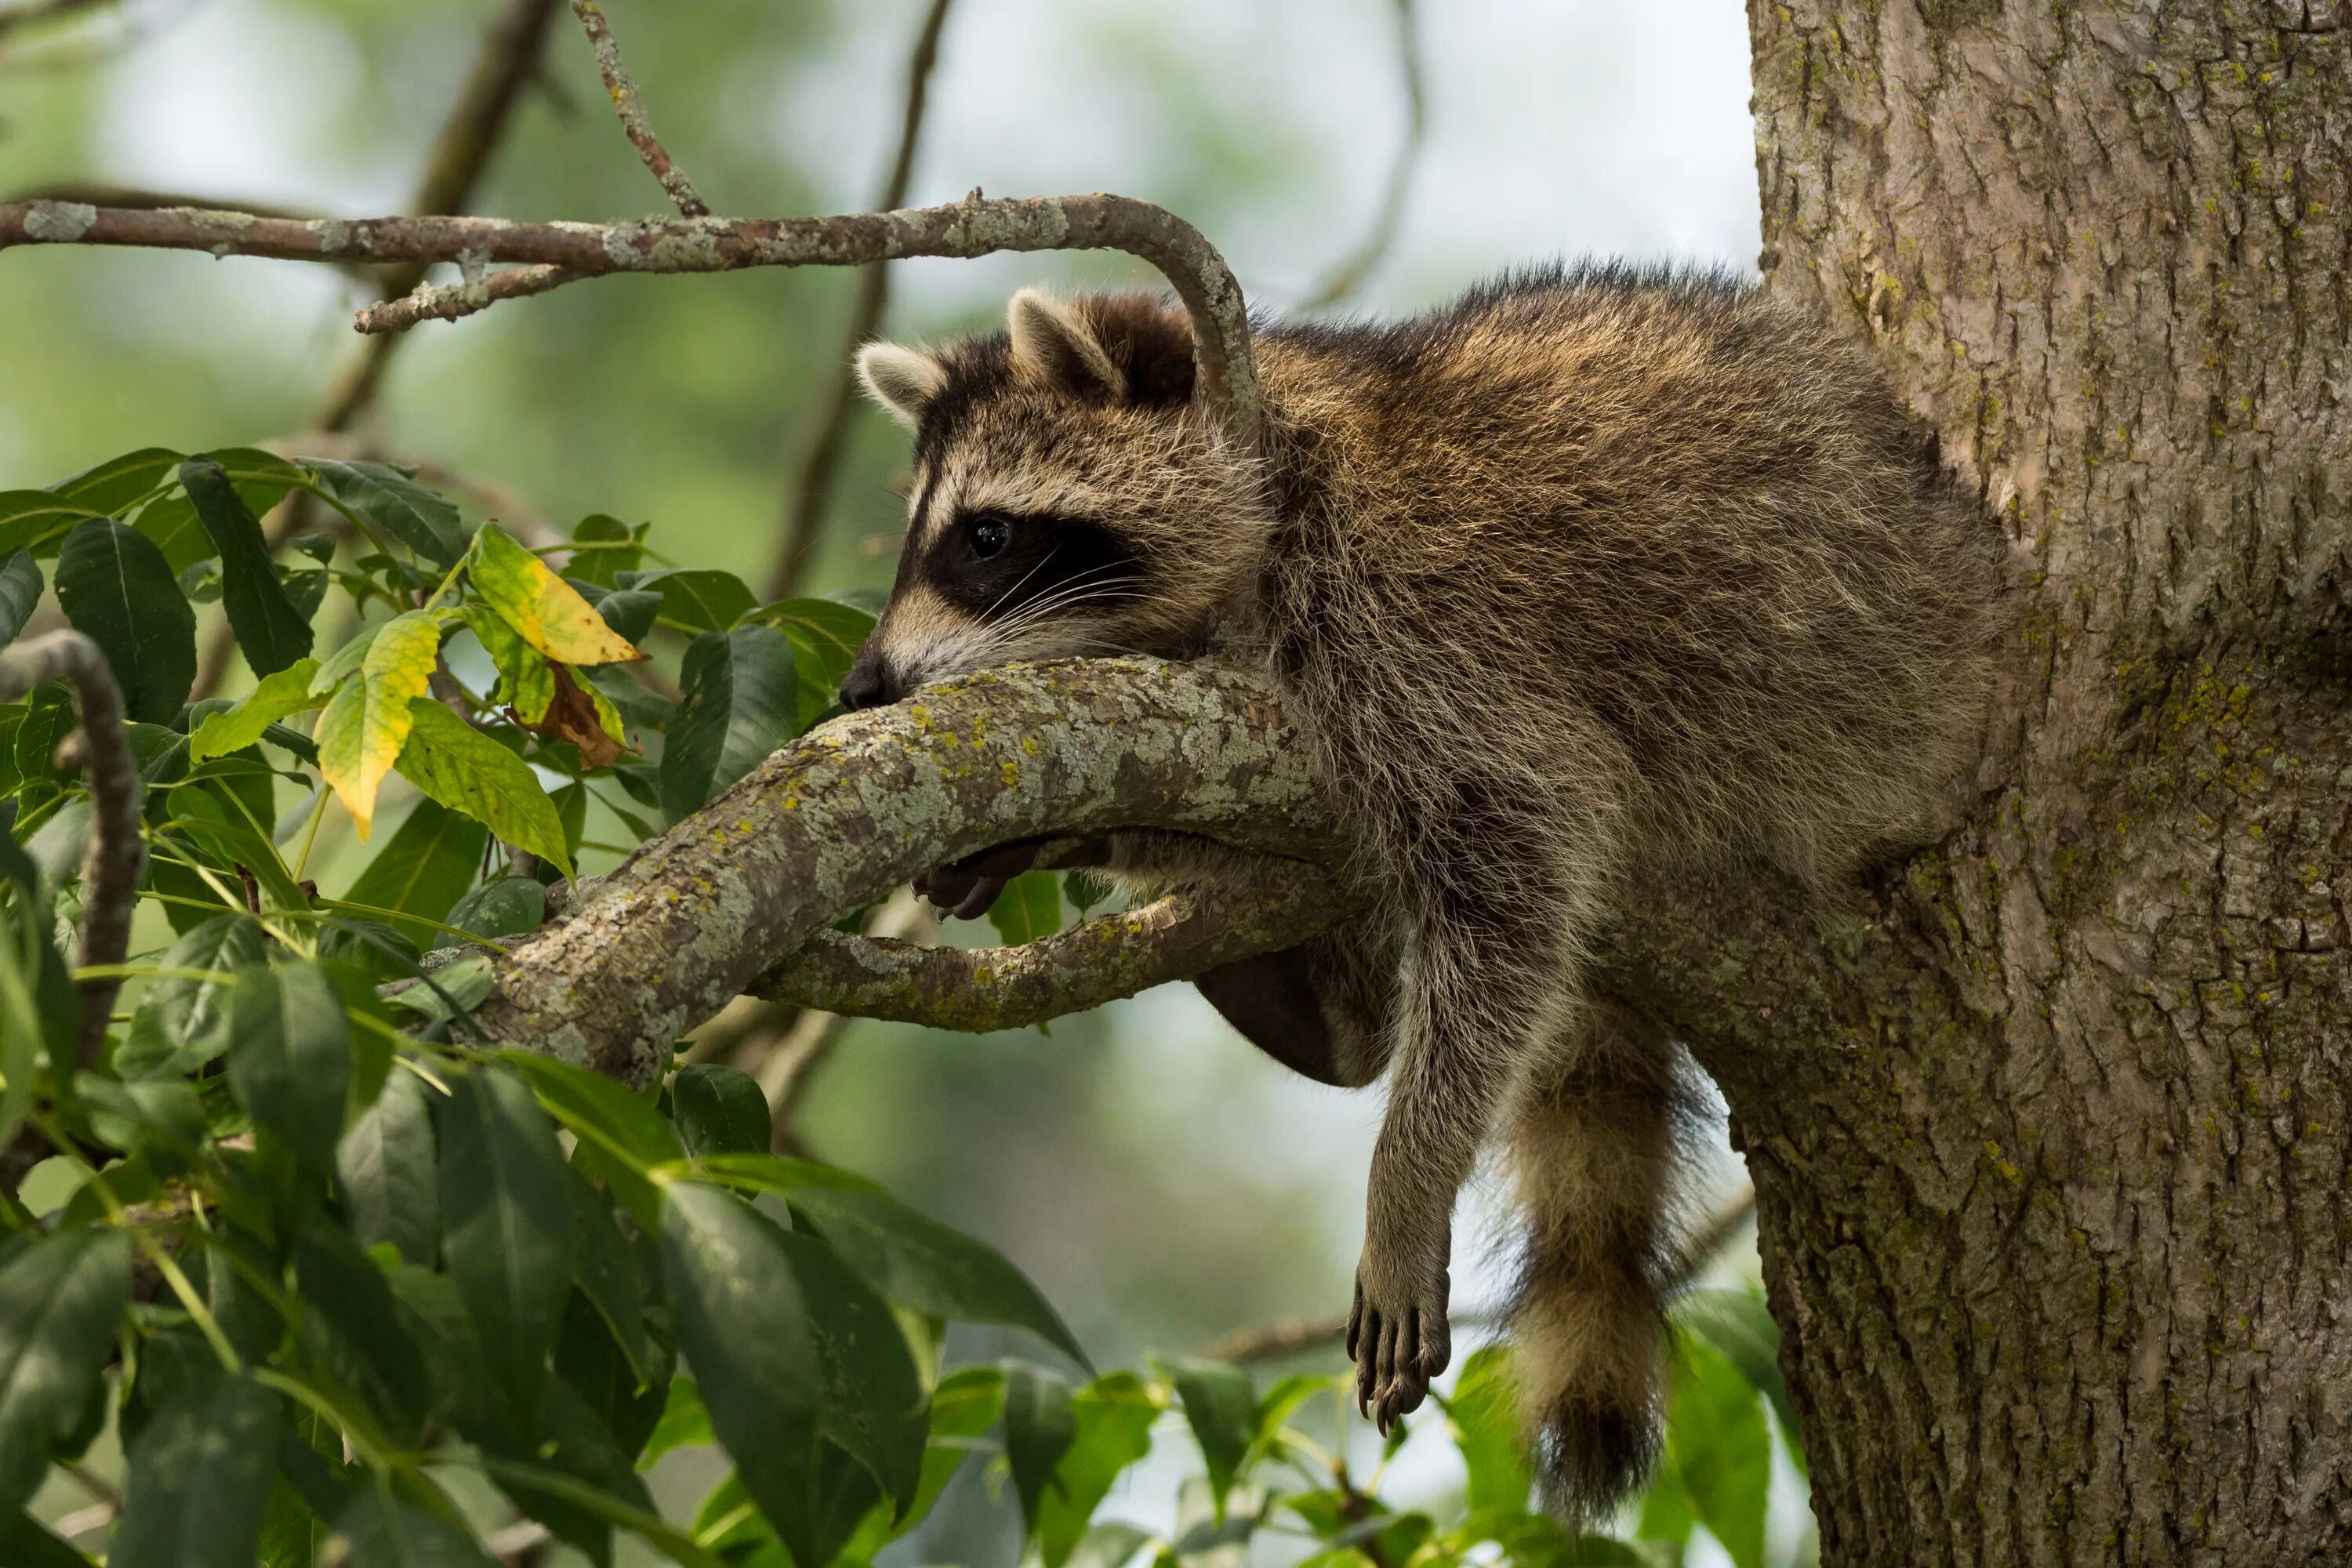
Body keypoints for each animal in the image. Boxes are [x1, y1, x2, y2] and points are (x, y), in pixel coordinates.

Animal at [833, 267, 2004, 1504]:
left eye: (987, 536)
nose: (860, 687)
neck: (1277, 458)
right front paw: (1054, 834)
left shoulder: (1415, 608)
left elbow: (1514, 867)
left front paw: (1406, 1176)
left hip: (1862, 720)